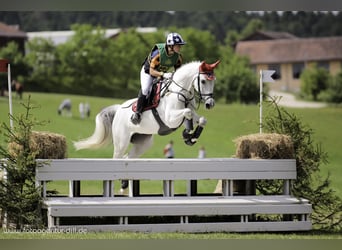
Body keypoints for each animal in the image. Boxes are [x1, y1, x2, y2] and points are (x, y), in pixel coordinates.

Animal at [73, 59, 220, 189]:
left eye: (214, 81)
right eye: (203, 81)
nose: (210, 104)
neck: (180, 91)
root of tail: (119, 109)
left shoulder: (185, 115)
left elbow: (201, 119)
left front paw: (191, 137)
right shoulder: (171, 118)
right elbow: (188, 113)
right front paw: (187, 134)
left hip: (143, 143)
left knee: (128, 158)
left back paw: (124, 183)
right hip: (121, 142)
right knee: (118, 158)